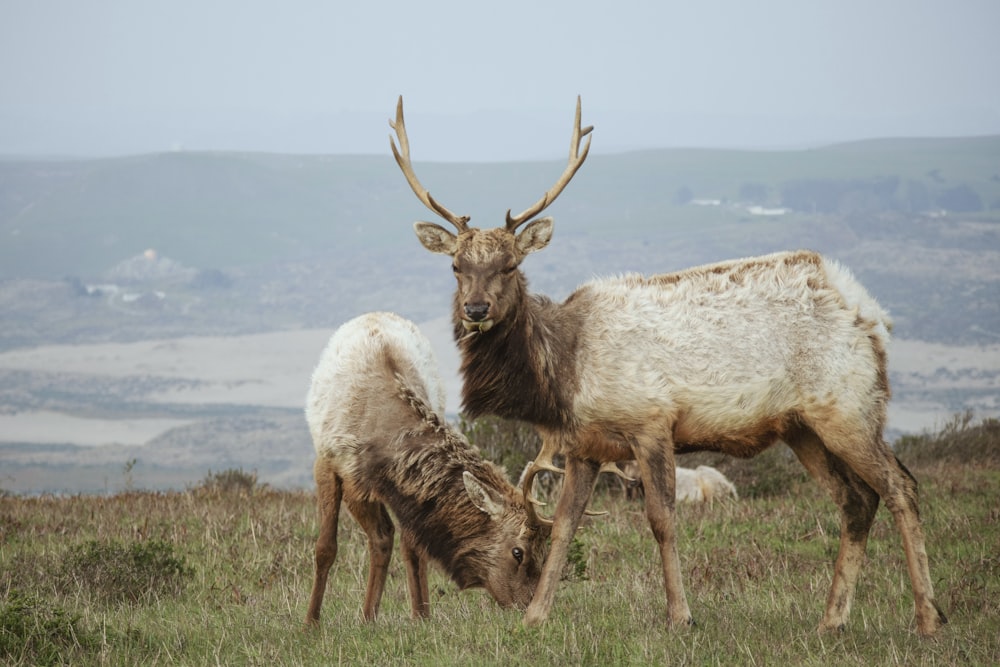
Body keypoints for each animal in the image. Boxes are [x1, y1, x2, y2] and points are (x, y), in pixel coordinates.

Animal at [306, 314, 552, 628]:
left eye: (544, 552)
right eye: (517, 552)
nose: (528, 610)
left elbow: (406, 545)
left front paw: (415, 615)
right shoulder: (329, 464)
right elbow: (325, 548)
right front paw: (310, 623)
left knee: (393, 540)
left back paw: (388, 615)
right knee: (383, 537)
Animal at [386, 95, 948, 636]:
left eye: (510, 265)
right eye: (456, 266)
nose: (475, 309)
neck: (564, 376)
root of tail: (871, 314)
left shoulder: (652, 423)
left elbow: (661, 520)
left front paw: (681, 615)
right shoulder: (585, 445)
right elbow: (566, 525)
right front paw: (535, 616)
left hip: (849, 406)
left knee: (900, 486)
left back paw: (928, 618)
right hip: (802, 427)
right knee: (856, 500)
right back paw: (831, 620)